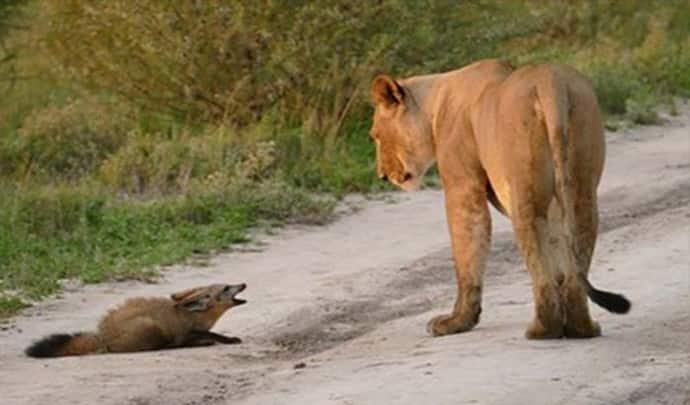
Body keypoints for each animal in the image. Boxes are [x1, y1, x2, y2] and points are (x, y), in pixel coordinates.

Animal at [25, 280, 246, 356]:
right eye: (226, 288)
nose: (243, 284)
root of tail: (102, 336)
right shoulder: (185, 333)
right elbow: (212, 334)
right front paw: (228, 339)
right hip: (150, 327)